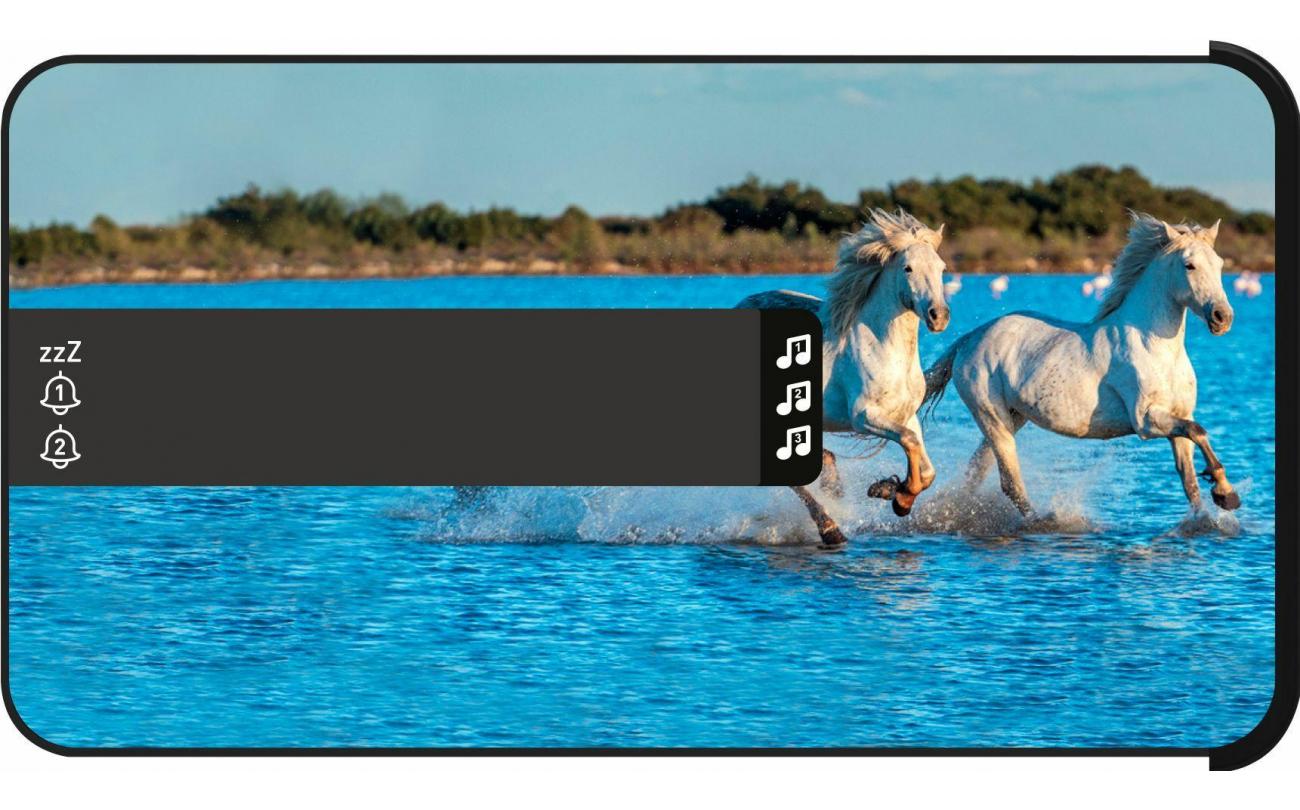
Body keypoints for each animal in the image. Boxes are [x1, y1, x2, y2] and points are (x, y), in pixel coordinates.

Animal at [738, 208, 951, 547]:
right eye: (907, 268)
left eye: (942, 268)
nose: (938, 316)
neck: (884, 348)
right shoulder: (864, 416)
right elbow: (909, 442)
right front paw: (900, 498)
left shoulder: (905, 414)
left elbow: (924, 462)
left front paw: (887, 489)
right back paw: (830, 529)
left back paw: (833, 484)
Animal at [922, 211, 1240, 519]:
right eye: (1189, 266)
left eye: (1219, 264)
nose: (1222, 317)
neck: (1155, 346)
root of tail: (971, 338)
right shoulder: (1146, 421)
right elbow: (1198, 431)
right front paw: (1226, 494)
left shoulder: (1179, 415)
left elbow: (1190, 479)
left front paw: (1215, 505)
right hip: (991, 416)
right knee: (1010, 483)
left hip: (1012, 417)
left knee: (976, 474)